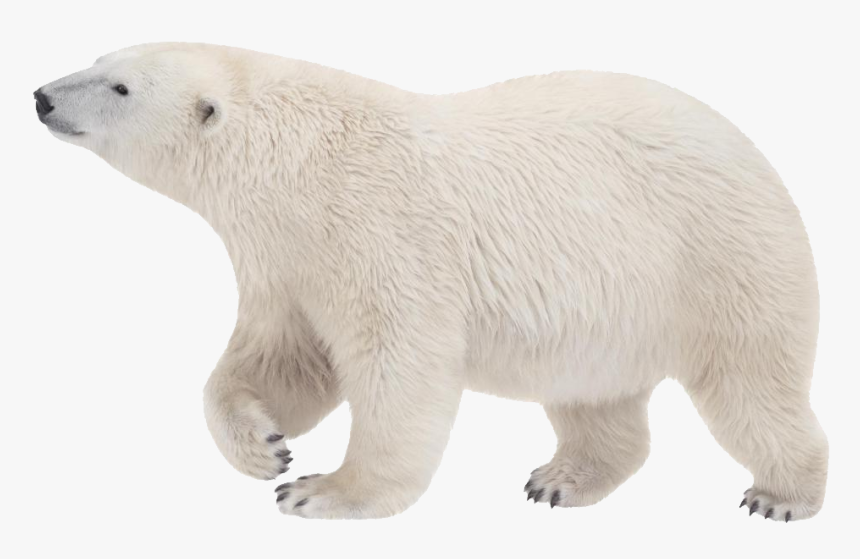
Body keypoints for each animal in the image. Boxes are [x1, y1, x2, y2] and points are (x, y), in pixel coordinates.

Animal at [35, 42, 828, 521]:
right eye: (102, 57)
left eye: (119, 86)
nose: (41, 95)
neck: (294, 160)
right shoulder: (285, 258)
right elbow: (284, 357)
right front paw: (264, 445)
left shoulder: (375, 231)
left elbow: (399, 364)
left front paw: (322, 490)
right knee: (593, 396)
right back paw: (560, 479)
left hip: (717, 257)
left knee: (750, 385)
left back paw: (782, 494)